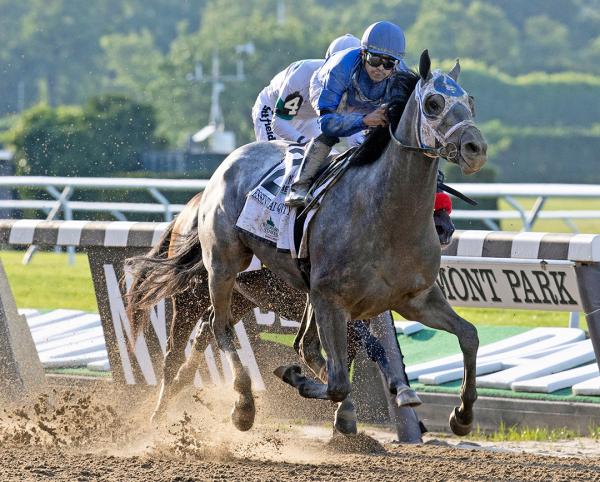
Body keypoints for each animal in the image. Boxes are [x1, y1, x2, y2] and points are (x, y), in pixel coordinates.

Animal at [126, 51, 488, 436]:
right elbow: (343, 372)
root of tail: (226, 166)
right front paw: (322, 389)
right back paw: (235, 406)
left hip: (251, 295)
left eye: (470, 102)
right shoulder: (331, 299)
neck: (385, 217)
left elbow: (469, 335)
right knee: (208, 334)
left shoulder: (414, 299)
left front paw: (462, 415)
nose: (476, 149)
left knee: (221, 332)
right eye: (433, 103)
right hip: (216, 273)